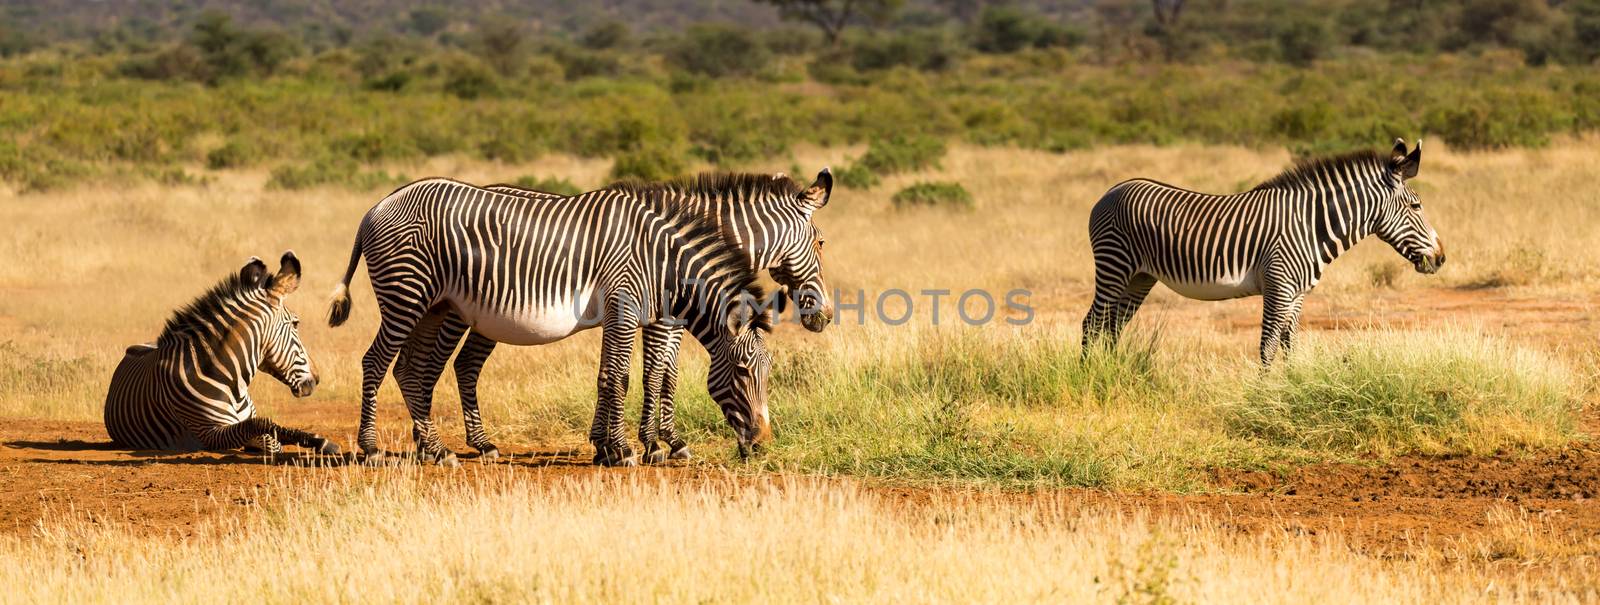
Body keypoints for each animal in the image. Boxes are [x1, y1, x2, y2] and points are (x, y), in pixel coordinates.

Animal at [103, 252, 340, 454]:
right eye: (296, 324)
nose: (317, 379)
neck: (232, 383)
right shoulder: (209, 432)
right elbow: (263, 426)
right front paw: (320, 442)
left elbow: (272, 430)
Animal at [390, 170, 838, 464]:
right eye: (820, 242)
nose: (825, 316)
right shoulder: (660, 318)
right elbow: (654, 374)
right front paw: (655, 444)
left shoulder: (661, 315)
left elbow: (653, 373)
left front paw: (616, 442)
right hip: (459, 310)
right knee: (442, 365)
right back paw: (455, 444)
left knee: (454, 364)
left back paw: (444, 442)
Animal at [1081, 138, 1446, 363]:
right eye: (1416, 206)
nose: (1441, 258)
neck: (1311, 225)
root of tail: (1111, 190)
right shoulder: (1278, 287)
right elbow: (1268, 346)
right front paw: (1263, 397)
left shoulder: (1297, 294)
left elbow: (1289, 345)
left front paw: (1292, 389)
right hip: (1114, 265)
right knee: (1091, 324)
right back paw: (1090, 377)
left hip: (1140, 277)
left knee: (1112, 327)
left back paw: (1114, 374)